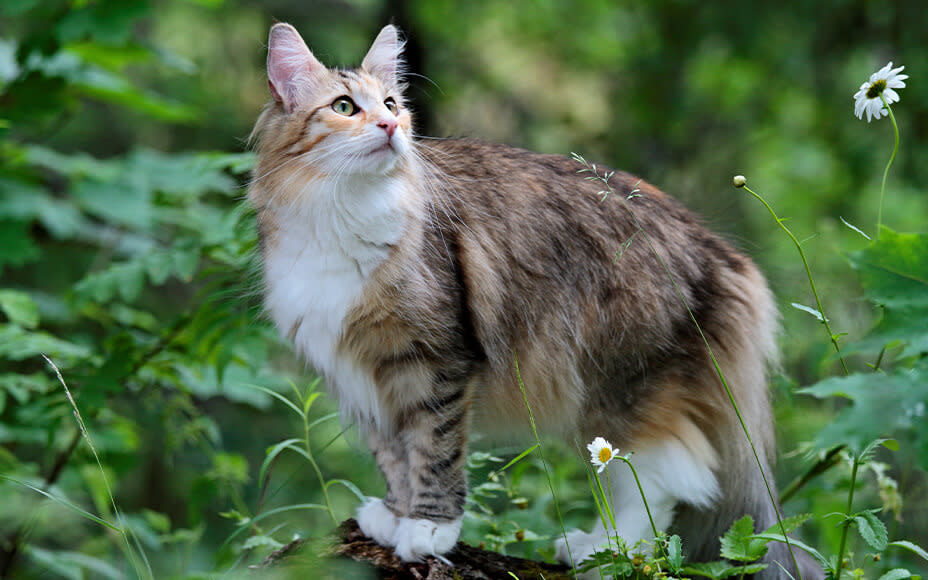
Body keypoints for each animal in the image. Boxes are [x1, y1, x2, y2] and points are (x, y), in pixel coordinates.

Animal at [246, 22, 820, 580]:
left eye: (391, 104)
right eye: (345, 107)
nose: (391, 128)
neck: (339, 209)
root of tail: (722, 253)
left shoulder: (435, 362)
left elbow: (434, 451)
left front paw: (429, 528)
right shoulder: (365, 373)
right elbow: (395, 458)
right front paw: (394, 516)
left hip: (620, 386)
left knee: (659, 481)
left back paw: (605, 550)